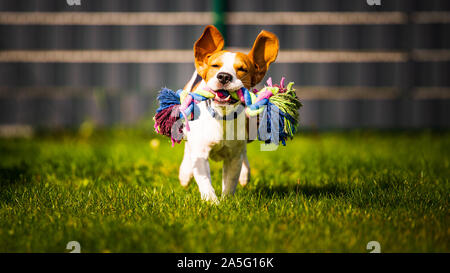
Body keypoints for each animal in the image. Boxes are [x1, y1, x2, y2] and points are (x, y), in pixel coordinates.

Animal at [178, 24, 278, 201]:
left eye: (242, 69)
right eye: (215, 66)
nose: (224, 76)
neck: (222, 117)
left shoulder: (233, 157)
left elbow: (231, 180)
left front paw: (226, 201)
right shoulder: (200, 153)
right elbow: (204, 181)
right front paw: (212, 202)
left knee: (244, 154)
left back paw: (245, 174)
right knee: (187, 149)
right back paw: (185, 173)